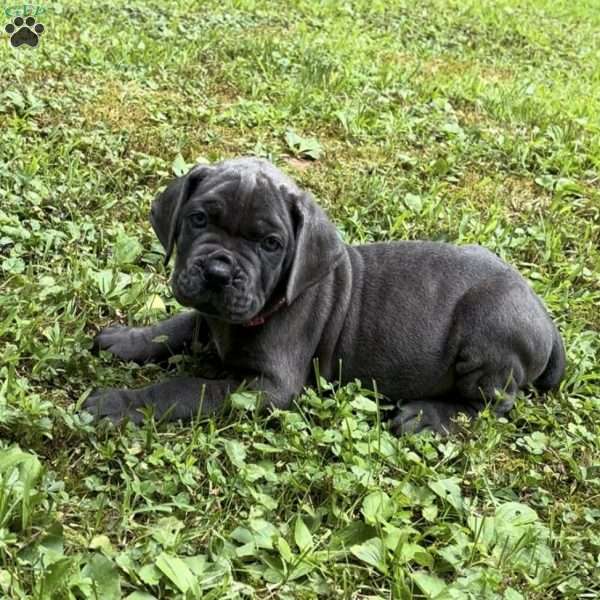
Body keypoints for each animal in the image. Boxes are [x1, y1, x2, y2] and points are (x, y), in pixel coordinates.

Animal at [85, 157, 568, 434]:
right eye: (198, 219)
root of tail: (545, 318)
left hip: (488, 338)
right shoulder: (207, 316)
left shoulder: (269, 386)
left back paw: (427, 416)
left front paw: (120, 403)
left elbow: (189, 388)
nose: (219, 272)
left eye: (271, 244)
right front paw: (126, 339)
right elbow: (175, 326)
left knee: (493, 404)